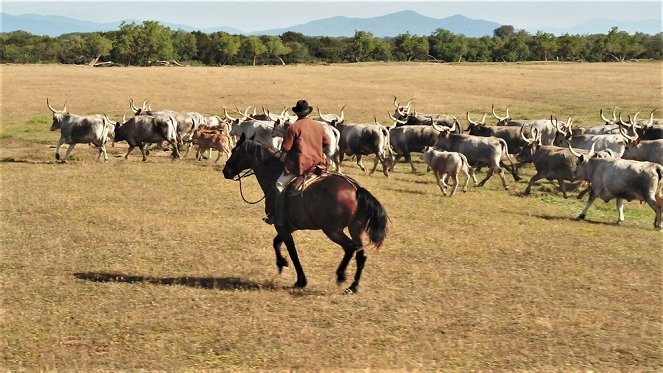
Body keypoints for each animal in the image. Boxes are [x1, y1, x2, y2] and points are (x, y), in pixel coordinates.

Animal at [223, 134, 390, 294]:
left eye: (235, 151)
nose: (225, 171)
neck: (274, 174)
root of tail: (355, 189)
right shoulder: (288, 227)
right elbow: (276, 243)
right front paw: (281, 263)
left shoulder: (282, 227)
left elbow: (292, 252)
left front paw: (300, 280)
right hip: (355, 229)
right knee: (361, 255)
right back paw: (352, 287)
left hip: (333, 230)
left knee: (350, 248)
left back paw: (341, 275)